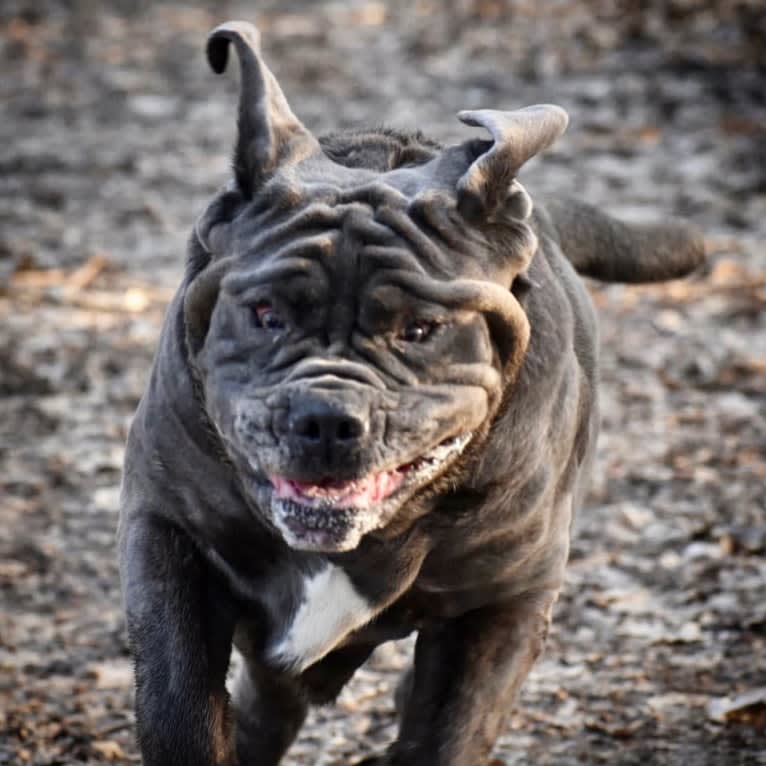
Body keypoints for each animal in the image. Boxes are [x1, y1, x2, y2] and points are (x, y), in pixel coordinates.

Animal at [121, 21, 708, 766]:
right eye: (266, 313)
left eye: (420, 329)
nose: (325, 418)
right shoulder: (167, 532)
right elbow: (179, 705)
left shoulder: (501, 605)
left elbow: (449, 731)